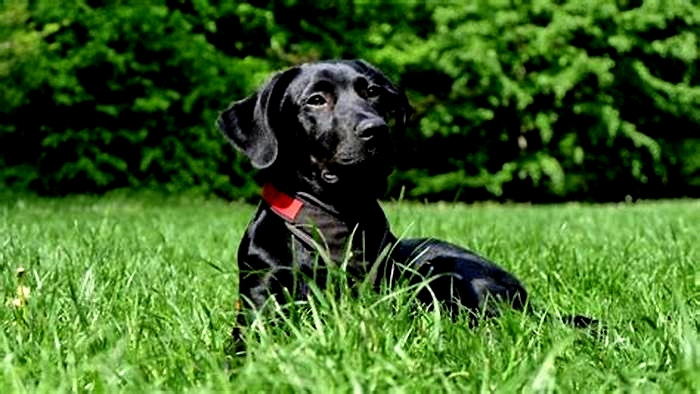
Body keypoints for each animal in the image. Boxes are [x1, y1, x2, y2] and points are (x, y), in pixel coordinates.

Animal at [217, 58, 592, 348]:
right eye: (316, 99)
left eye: (373, 92)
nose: (376, 129)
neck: (332, 217)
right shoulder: (258, 301)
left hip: (445, 272)